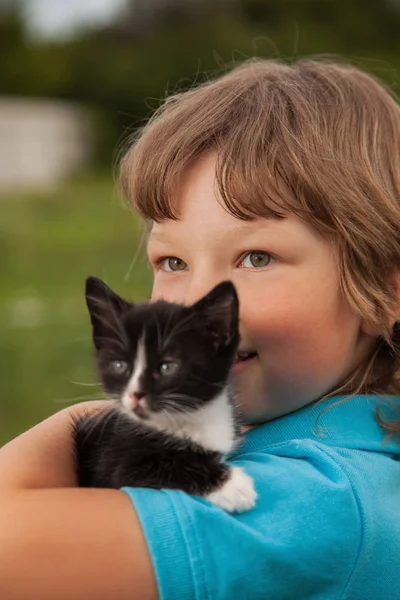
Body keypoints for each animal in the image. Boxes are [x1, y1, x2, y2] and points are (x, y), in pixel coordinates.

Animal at [72, 276, 258, 510]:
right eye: (119, 365)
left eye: (167, 367)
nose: (136, 394)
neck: (185, 419)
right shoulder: (113, 466)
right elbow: (160, 466)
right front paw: (232, 486)